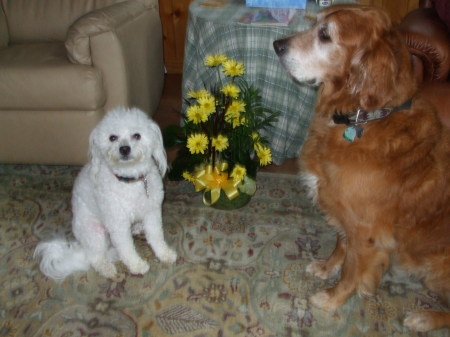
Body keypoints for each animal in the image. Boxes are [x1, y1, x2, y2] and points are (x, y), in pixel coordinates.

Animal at [34, 107, 178, 278]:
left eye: (137, 135)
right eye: (112, 137)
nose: (124, 149)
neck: (130, 181)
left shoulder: (152, 212)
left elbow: (156, 236)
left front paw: (165, 254)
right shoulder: (118, 223)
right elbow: (126, 248)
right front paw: (137, 265)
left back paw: (137, 228)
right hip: (94, 232)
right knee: (95, 258)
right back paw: (107, 268)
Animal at [272, 4, 448, 330]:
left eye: (325, 35)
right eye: (315, 23)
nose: (277, 45)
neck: (365, 117)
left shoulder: (367, 232)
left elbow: (352, 271)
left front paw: (332, 297)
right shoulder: (345, 215)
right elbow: (341, 245)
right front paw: (327, 267)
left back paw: (425, 317)